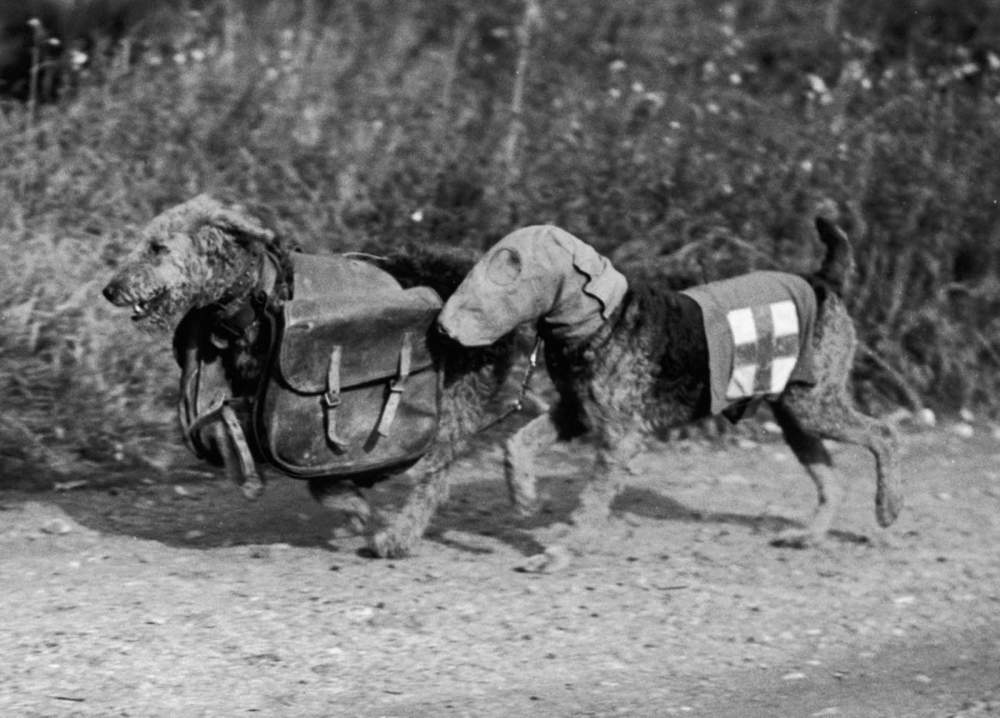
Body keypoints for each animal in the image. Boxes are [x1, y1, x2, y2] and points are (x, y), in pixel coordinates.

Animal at [104, 194, 520, 560]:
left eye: (157, 247)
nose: (109, 290)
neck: (257, 293)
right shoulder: (249, 404)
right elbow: (231, 435)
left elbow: (323, 476)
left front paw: (356, 506)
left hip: (455, 400)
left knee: (435, 476)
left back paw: (396, 538)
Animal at [442, 219, 904, 568]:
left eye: (513, 265)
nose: (444, 329)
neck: (599, 322)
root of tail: (824, 281)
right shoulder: (575, 412)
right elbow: (517, 443)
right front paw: (524, 500)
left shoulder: (619, 436)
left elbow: (589, 503)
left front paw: (558, 551)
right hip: (795, 415)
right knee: (831, 479)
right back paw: (807, 537)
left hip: (814, 406)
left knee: (884, 435)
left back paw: (888, 509)